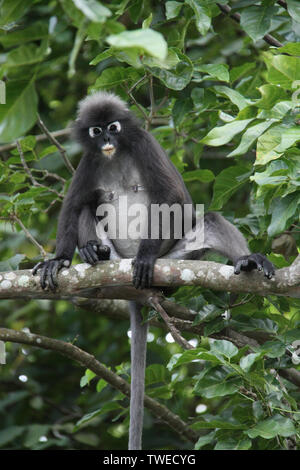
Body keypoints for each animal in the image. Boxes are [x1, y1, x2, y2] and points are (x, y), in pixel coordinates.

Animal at [32, 91, 274, 448]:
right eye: (95, 131)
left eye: (113, 127)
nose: (106, 140)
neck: (115, 156)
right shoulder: (90, 161)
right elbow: (74, 205)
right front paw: (58, 260)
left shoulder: (144, 144)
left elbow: (171, 198)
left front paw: (145, 255)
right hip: (117, 259)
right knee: (90, 204)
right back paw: (94, 252)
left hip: (176, 257)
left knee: (212, 222)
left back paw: (246, 261)